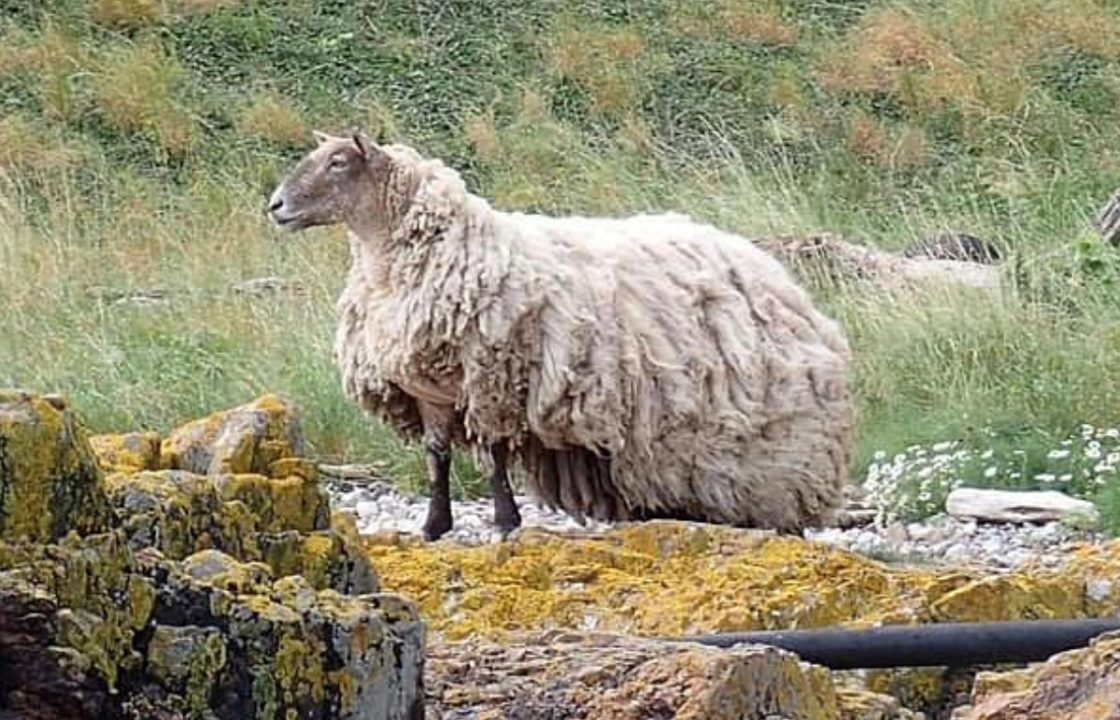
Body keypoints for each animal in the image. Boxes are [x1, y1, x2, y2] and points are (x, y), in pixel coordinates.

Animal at [264, 132, 855, 544]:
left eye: (338, 162)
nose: (275, 206)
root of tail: (784, 282)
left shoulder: (491, 378)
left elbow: (493, 458)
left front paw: (506, 522)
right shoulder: (428, 389)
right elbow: (437, 458)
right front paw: (434, 526)